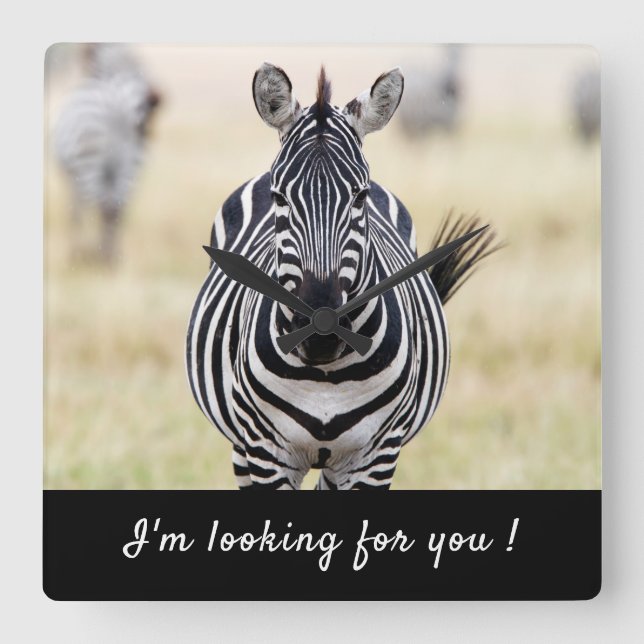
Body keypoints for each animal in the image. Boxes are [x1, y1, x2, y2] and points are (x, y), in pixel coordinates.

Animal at [53, 43, 161, 264]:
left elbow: (76, 213)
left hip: (88, 163)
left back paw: (93, 255)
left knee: (102, 206)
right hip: (131, 167)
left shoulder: (72, 178)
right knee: (117, 208)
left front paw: (75, 252)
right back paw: (111, 257)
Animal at [186, 63, 497, 490]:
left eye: (360, 196)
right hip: (242, 444)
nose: (321, 331)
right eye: (279, 197)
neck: (325, 376)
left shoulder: (375, 456)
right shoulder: (266, 452)